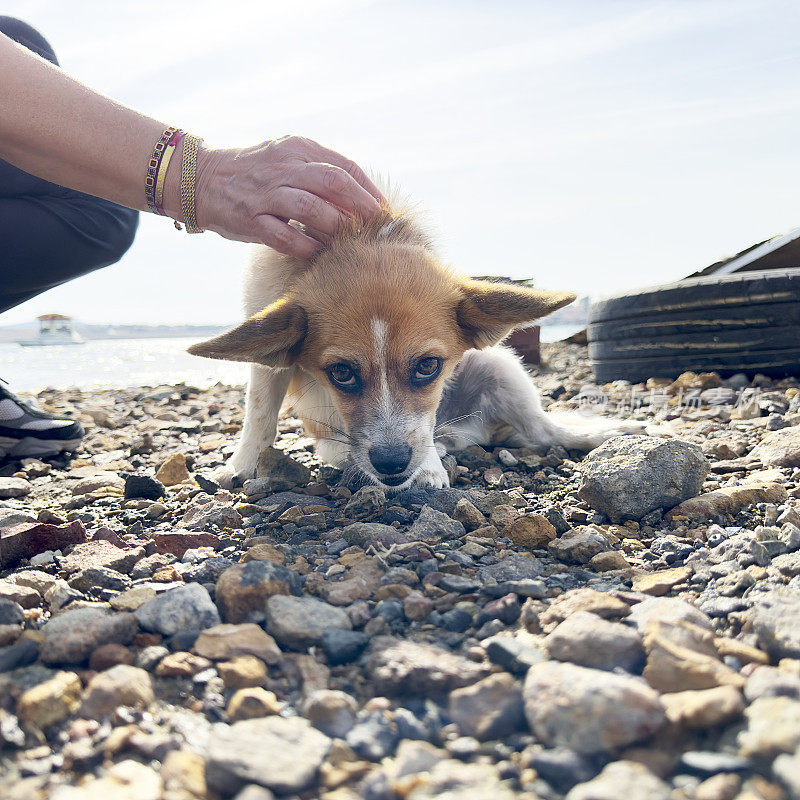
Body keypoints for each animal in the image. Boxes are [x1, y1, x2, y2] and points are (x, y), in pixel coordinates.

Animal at [191, 202, 648, 488]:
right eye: (341, 373)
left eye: (429, 366)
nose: (392, 464)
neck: (357, 235)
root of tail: (475, 432)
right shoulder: (268, 358)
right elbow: (260, 414)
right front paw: (243, 464)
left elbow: (422, 423)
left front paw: (425, 467)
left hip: (502, 365)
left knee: (543, 431)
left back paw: (609, 432)